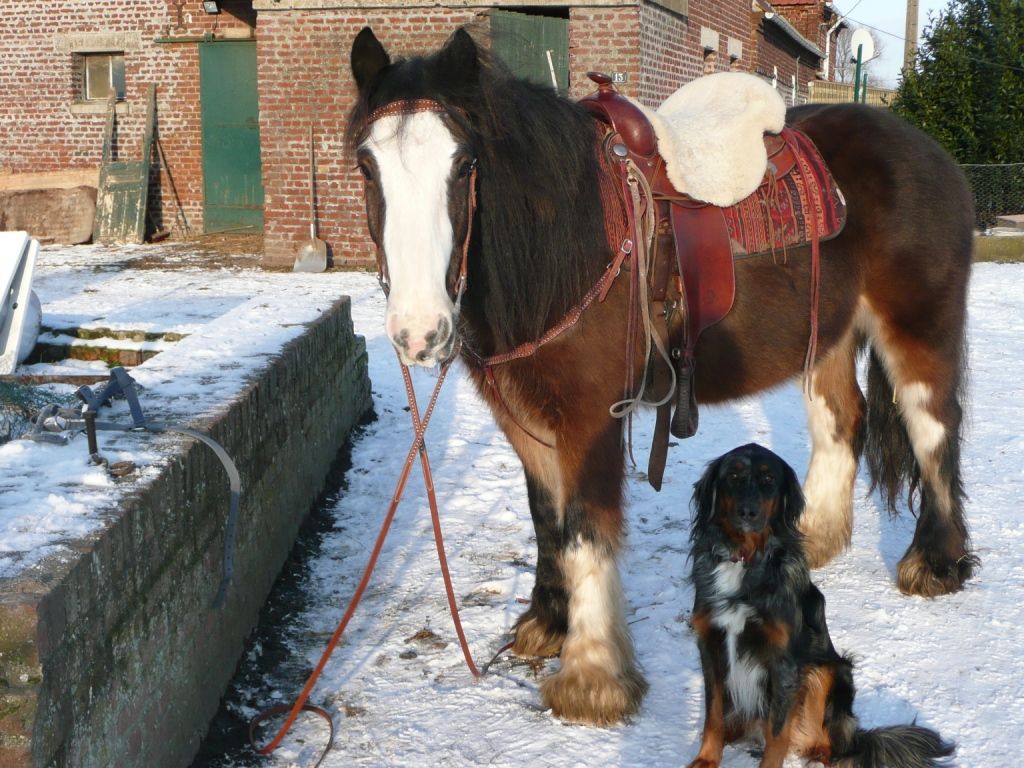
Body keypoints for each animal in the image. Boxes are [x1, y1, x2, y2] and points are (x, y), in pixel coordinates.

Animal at [345, 27, 976, 727]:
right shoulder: (526, 417)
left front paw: (592, 678)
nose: (418, 332)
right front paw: (547, 623)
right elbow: (546, 518)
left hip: (918, 330)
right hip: (826, 336)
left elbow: (584, 531)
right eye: (367, 166)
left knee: (932, 428)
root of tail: (928, 150)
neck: (573, 238)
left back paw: (936, 562)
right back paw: (810, 539)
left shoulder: (590, 418)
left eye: (462, 165)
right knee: (843, 421)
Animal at [686, 443, 954, 768]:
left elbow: (777, 730)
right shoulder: (710, 644)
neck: (743, 558)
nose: (747, 512)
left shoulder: (784, 660)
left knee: (832, 745)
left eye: (768, 479)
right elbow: (713, 714)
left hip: (828, 671)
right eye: (733, 475)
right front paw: (705, 759)